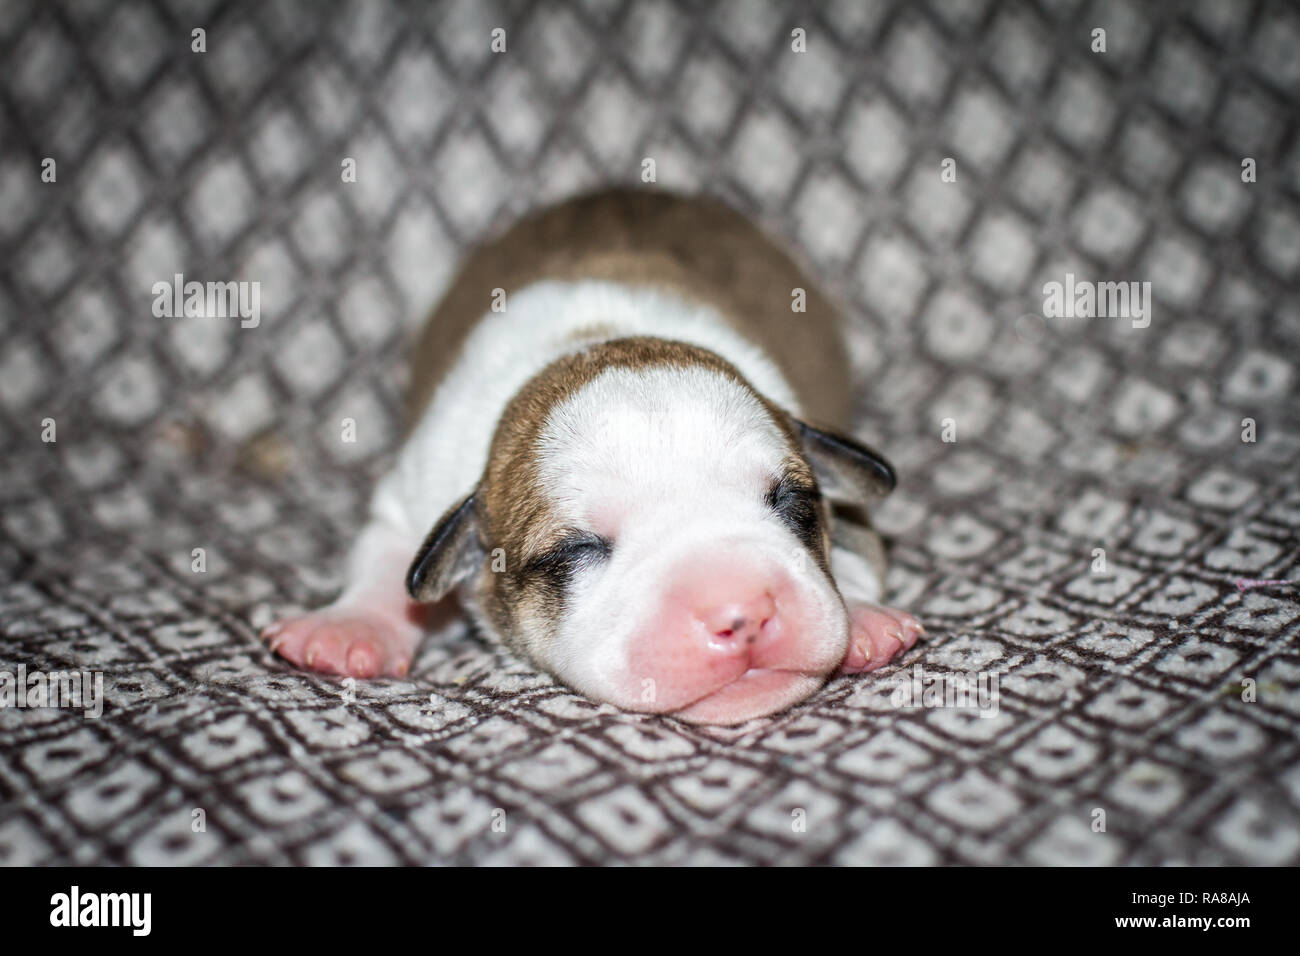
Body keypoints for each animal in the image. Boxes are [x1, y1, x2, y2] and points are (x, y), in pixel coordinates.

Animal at [258, 188, 920, 723]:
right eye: (579, 549)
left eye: (791, 503)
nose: (743, 612)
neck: (593, 342)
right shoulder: (415, 492)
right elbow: (387, 557)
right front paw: (347, 625)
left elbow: (858, 543)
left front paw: (864, 615)